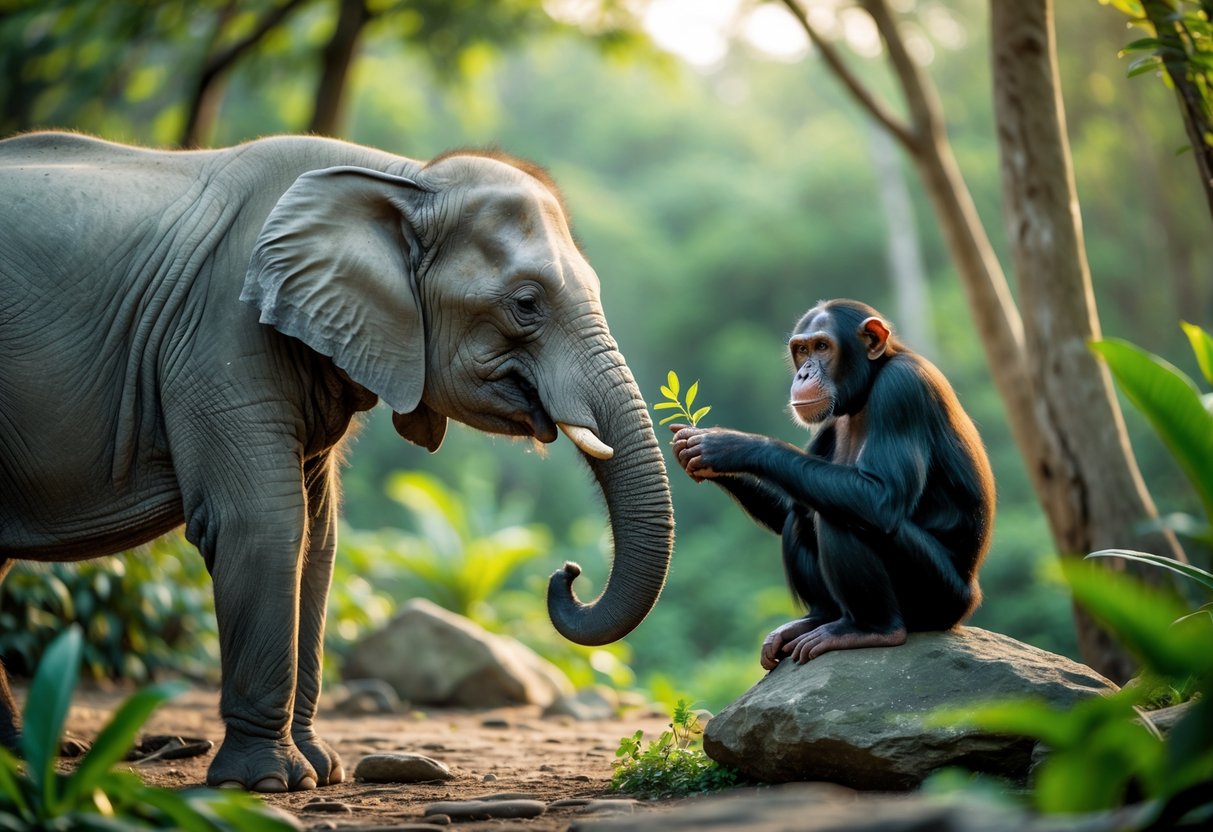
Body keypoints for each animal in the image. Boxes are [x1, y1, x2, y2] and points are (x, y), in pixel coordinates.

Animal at [0, 132, 674, 792]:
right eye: (526, 304)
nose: (568, 571)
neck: (405, 178)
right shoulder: (221, 333)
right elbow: (266, 526)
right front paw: (268, 784)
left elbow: (317, 540)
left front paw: (321, 772)